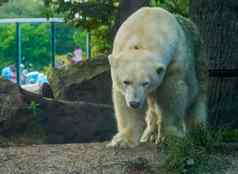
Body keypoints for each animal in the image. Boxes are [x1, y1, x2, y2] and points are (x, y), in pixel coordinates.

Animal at [107, 7, 207, 148]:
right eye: (126, 81)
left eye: (145, 83)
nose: (134, 103)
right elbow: (122, 99)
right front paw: (123, 140)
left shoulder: (175, 59)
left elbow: (171, 92)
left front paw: (169, 137)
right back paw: (149, 135)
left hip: (198, 57)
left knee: (197, 94)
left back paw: (197, 132)